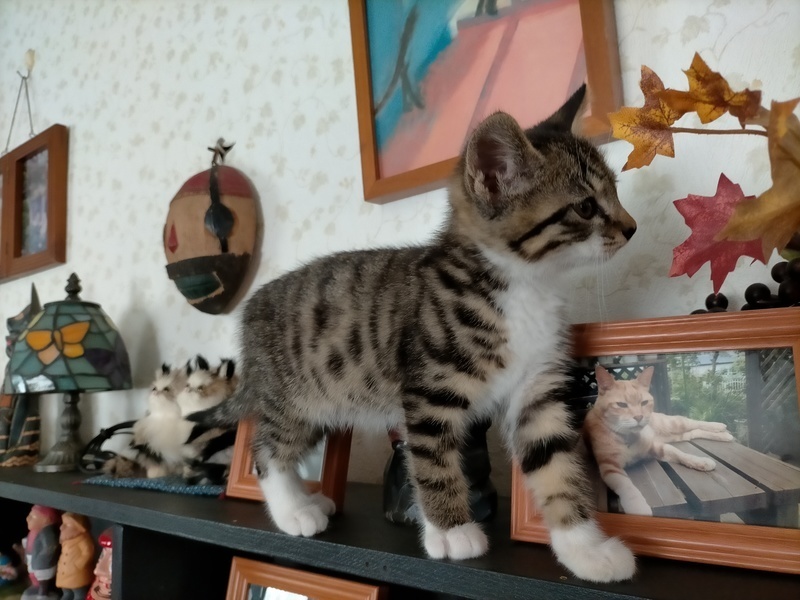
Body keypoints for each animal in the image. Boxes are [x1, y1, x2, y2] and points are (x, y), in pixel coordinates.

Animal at [192, 85, 638, 583]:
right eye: (586, 207)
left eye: (615, 194)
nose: (631, 227)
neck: (522, 284)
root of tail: (251, 309)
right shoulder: (430, 388)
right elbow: (433, 460)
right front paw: (451, 530)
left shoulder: (538, 389)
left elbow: (554, 463)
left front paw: (585, 548)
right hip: (293, 398)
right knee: (268, 451)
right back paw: (293, 511)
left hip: (322, 404)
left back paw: (308, 500)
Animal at [584, 365, 734, 516]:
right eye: (621, 405)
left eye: (644, 402)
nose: (639, 417)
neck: (628, 437)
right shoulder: (609, 467)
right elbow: (626, 486)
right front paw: (637, 506)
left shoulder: (657, 447)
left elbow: (680, 454)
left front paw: (700, 461)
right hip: (674, 435)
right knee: (693, 433)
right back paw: (724, 435)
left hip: (673, 424)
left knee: (693, 423)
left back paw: (720, 427)